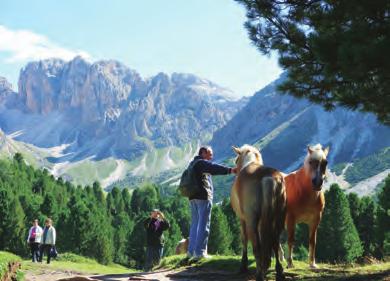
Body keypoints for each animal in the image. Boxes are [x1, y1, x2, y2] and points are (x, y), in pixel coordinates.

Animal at [232, 144, 286, 280]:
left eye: (236, 160)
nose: (235, 170)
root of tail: (268, 178)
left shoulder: (242, 219)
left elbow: (244, 239)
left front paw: (243, 265)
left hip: (251, 220)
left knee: (256, 246)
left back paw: (259, 274)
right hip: (278, 218)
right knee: (275, 241)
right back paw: (278, 271)